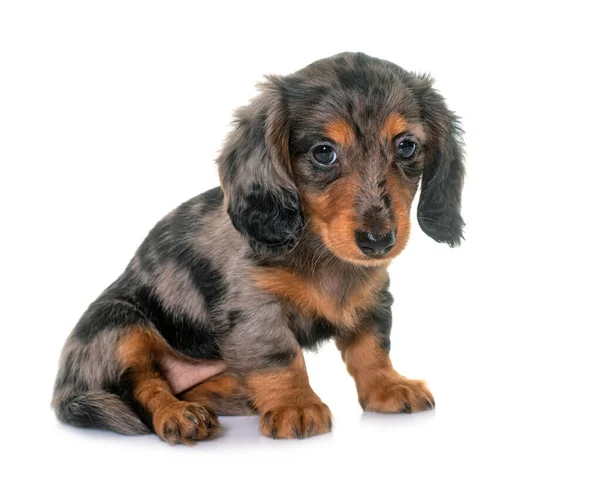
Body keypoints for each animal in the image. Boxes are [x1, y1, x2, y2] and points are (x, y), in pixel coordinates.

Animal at [51, 52, 464, 442]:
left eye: (407, 146)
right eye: (323, 152)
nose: (378, 242)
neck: (318, 248)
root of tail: (65, 391)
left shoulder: (372, 298)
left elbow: (372, 347)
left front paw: (388, 387)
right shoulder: (253, 308)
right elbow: (279, 357)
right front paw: (295, 405)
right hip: (118, 324)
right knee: (141, 387)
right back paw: (179, 415)